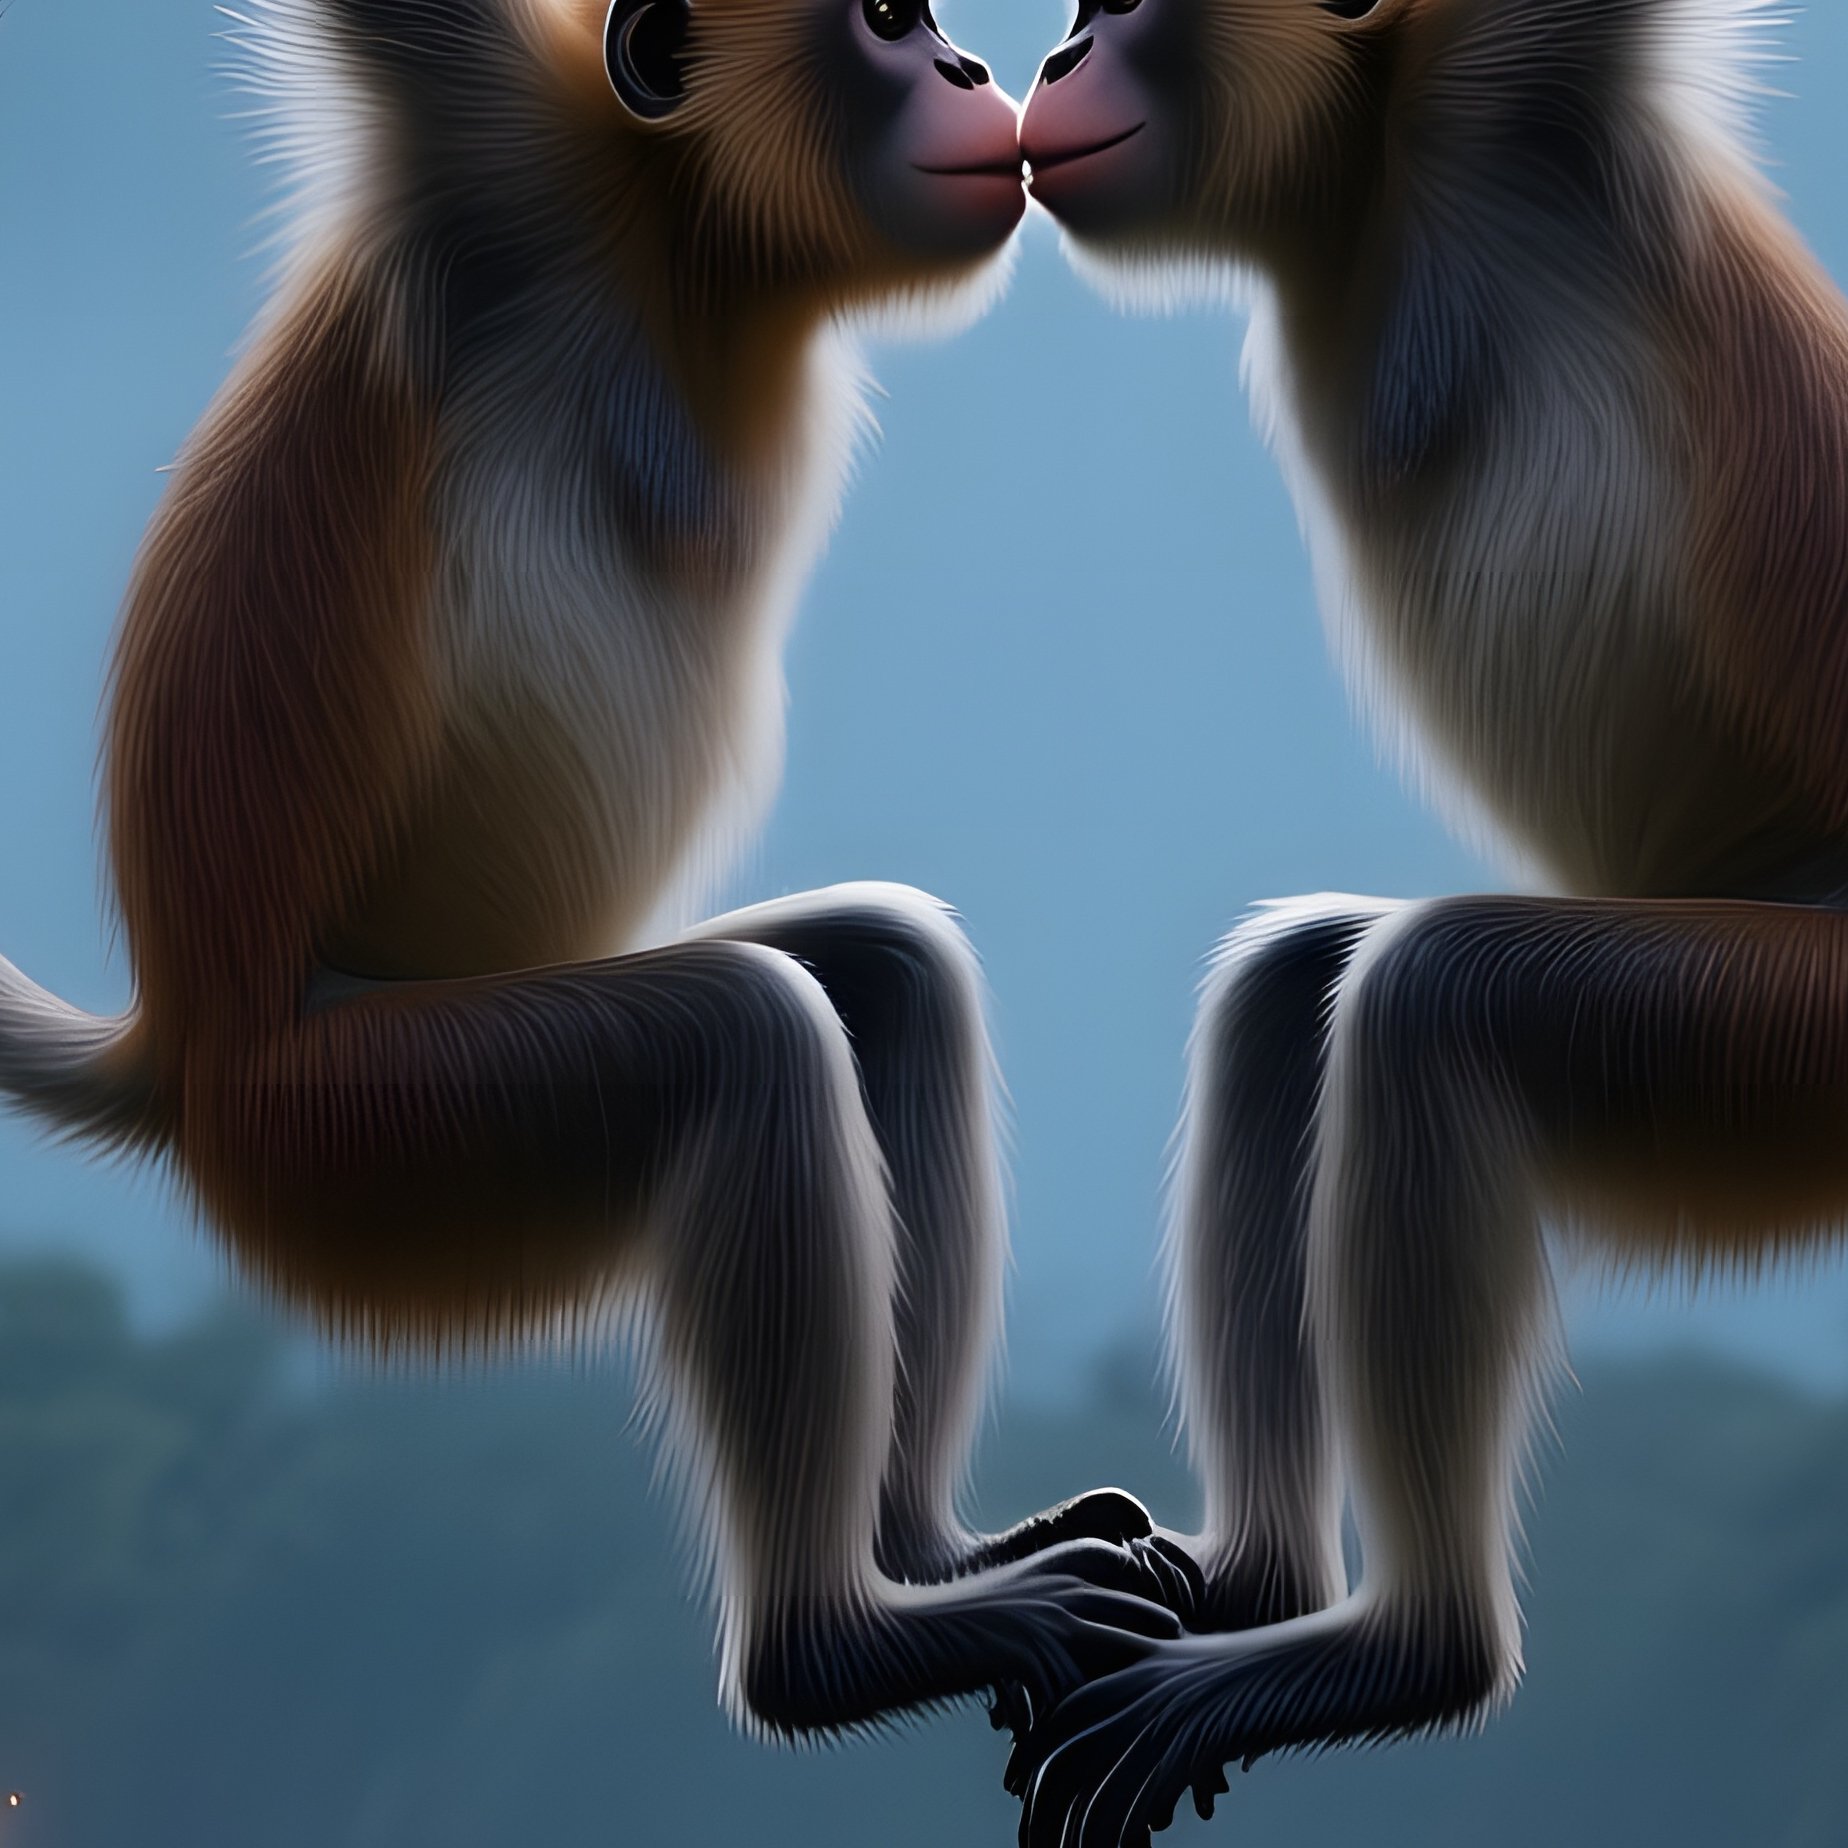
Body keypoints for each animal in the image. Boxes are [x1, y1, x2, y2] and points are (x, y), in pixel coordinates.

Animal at [0, 0, 1204, 1743]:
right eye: (890, 23)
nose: (976, 73)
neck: (683, 256)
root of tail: (184, 1050)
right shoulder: (509, 162)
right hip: (366, 1129)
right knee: (746, 1043)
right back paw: (832, 1648)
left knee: (881, 971)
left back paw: (932, 1554)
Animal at [997, 0, 1848, 1839]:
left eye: (1125, 14)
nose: (1058, 62)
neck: (1369, 198)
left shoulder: (1511, 101)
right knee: (1296, 980)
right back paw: (1244, 1584)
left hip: (1782, 1025)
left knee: (1433, 998)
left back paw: (1409, 1652)